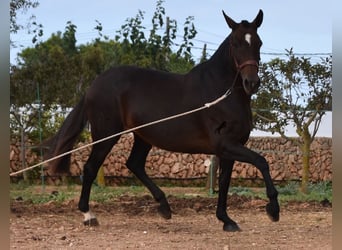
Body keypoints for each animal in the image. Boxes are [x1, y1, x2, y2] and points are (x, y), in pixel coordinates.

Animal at [45, 9, 280, 232]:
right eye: (235, 43)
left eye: (258, 42)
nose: (251, 83)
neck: (220, 91)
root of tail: (94, 85)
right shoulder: (225, 145)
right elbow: (262, 161)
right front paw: (273, 210)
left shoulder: (229, 148)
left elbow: (224, 182)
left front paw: (226, 220)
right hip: (106, 135)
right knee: (90, 168)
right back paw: (89, 215)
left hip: (142, 136)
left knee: (134, 164)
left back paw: (164, 207)